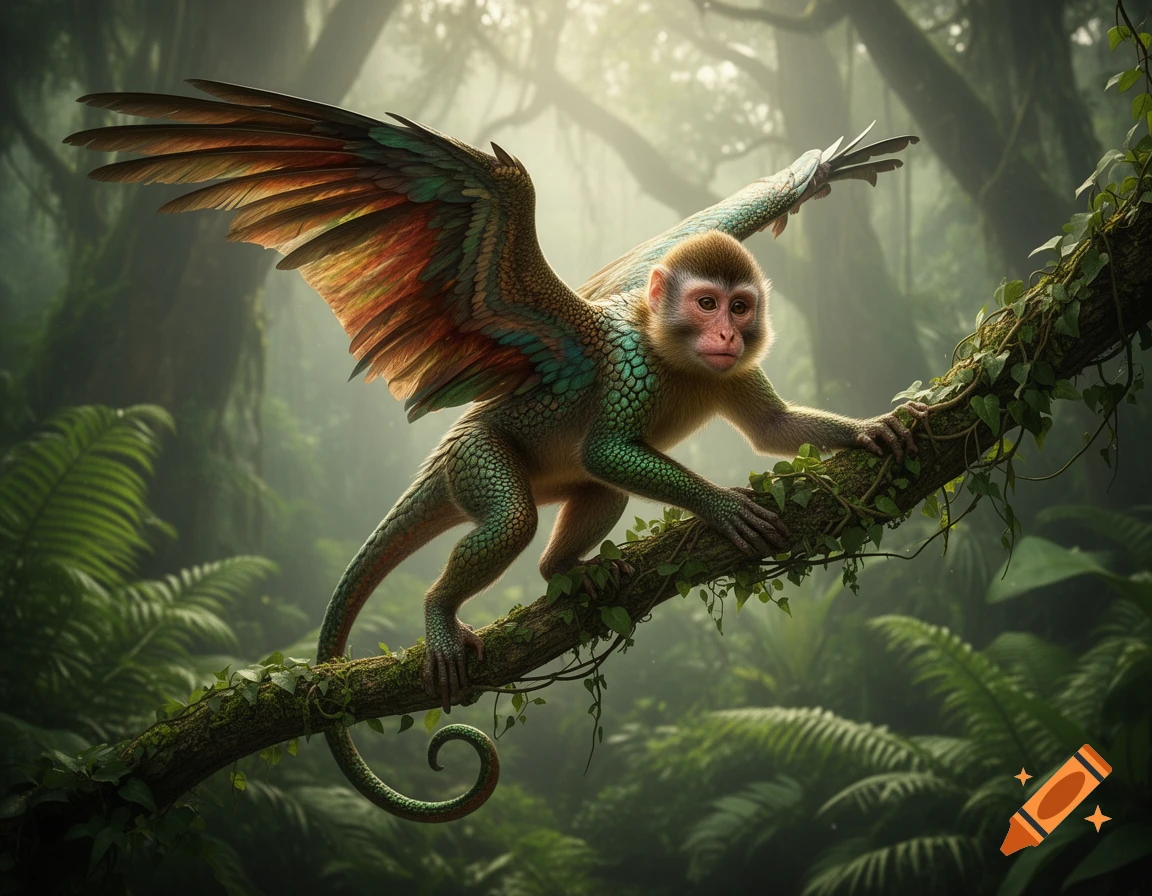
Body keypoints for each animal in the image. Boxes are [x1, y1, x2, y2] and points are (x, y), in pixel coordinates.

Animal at [68, 80, 922, 821]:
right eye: (705, 302)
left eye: (741, 308)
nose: (725, 335)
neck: (672, 356)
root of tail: (444, 451)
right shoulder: (626, 373)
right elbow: (609, 448)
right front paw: (720, 506)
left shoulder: (731, 373)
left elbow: (769, 430)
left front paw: (869, 426)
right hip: (475, 452)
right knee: (514, 514)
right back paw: (442, 613)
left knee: (592, 497)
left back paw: (566, 571)